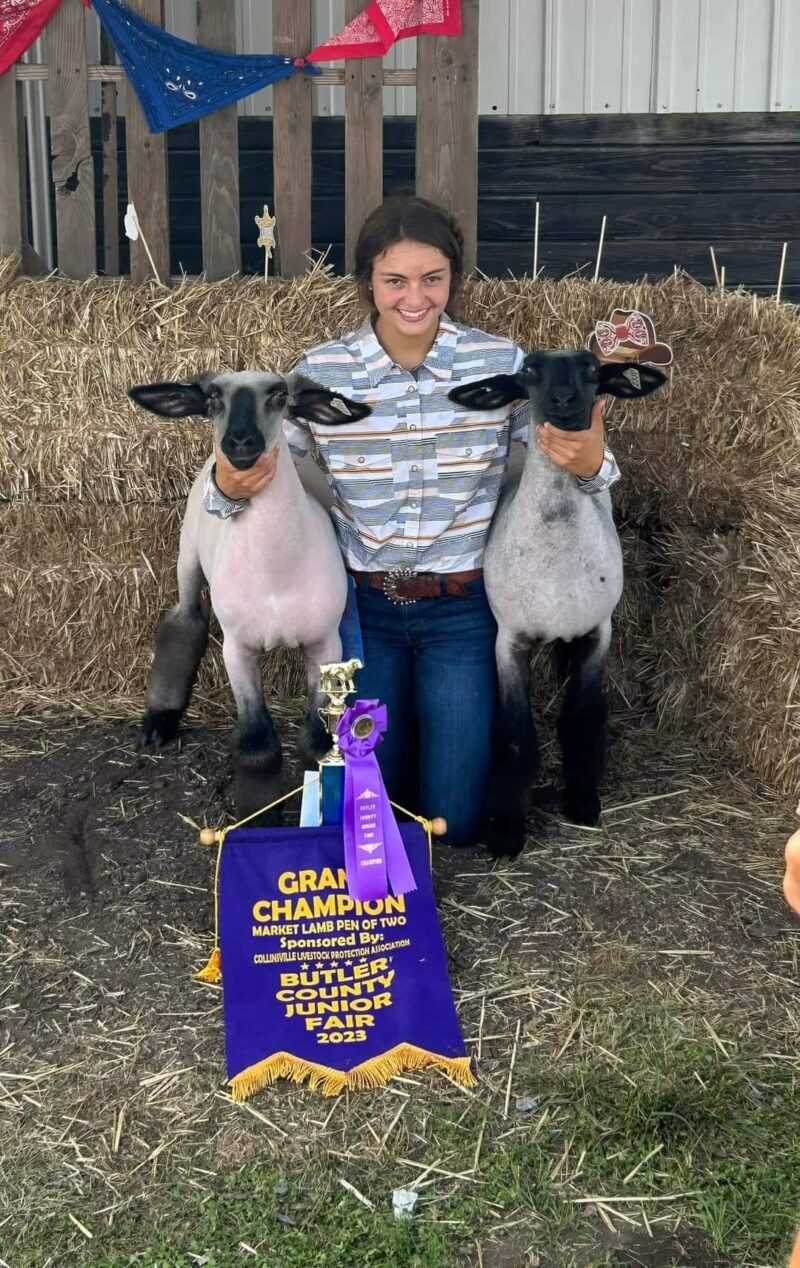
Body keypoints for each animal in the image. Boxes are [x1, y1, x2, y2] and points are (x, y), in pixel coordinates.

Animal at [129, 370, 370, 816]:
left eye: (278, 395)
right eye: (212, 399)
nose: (239, 442)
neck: (276, 574)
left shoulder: (325, 644)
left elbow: (317, 741)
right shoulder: (237, 650)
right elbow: (257, 744)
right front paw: (258, 817)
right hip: (188, 555)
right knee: (185, 619)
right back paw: (159, 722)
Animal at [451, 352, 669, 857]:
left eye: (591, 368)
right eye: (530, 370)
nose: (565, 401)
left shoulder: (597, 632)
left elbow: (584, 717)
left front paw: (583, 800)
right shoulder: (509, 639)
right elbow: (514, 734)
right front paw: (506, 830)